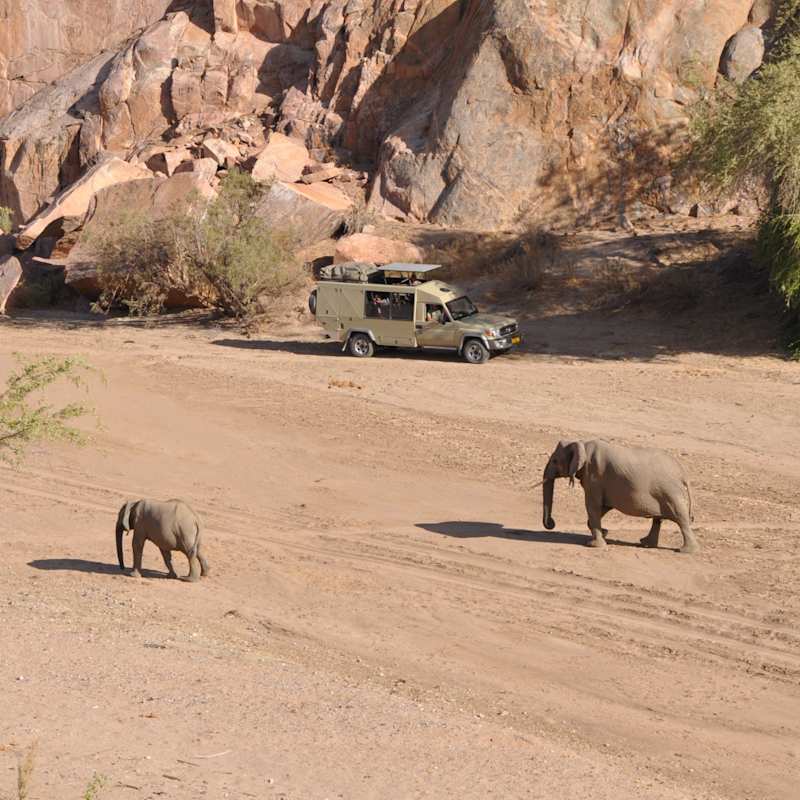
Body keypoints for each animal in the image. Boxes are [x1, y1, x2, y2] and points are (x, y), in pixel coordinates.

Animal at [541, 440, 698, 553]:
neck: (582, 444)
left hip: (670, 493)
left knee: (681, 518)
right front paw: (604, 533)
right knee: (658, 519)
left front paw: (594, 545)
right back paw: (646, 544)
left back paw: (685, 551)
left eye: (554, 461)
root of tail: (683, 473)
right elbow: (603, 507)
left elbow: (593, 506)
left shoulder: (594, 476)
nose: (552, 523)